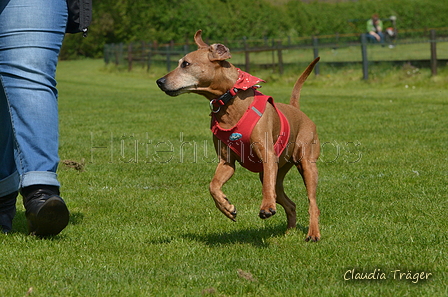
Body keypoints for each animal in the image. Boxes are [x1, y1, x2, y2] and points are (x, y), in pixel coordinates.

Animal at [156, 30, 320, 240]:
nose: (159, 81)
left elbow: (266, 187)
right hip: (277, 170)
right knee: (289, 203)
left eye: (185, 64)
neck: (230, 101)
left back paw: (313, 233)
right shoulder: (227, 162)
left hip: (306, 164)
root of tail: (297, 110)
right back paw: (288, 232)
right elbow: (213, 185)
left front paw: (267, 206)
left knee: (312, 202)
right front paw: (226, 207)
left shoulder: (267, 156)